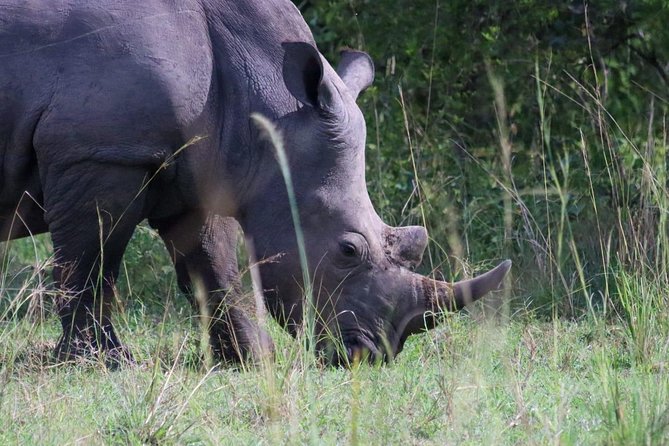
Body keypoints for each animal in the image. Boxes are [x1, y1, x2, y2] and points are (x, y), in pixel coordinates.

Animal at [0, 0, 511, 366]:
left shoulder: (203, 168)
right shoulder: (102, 153)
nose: (369, 355)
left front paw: (250, 359)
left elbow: (213, 267)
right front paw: (102, 362)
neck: (265, 102)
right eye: (348, 250)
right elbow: (92, 262)